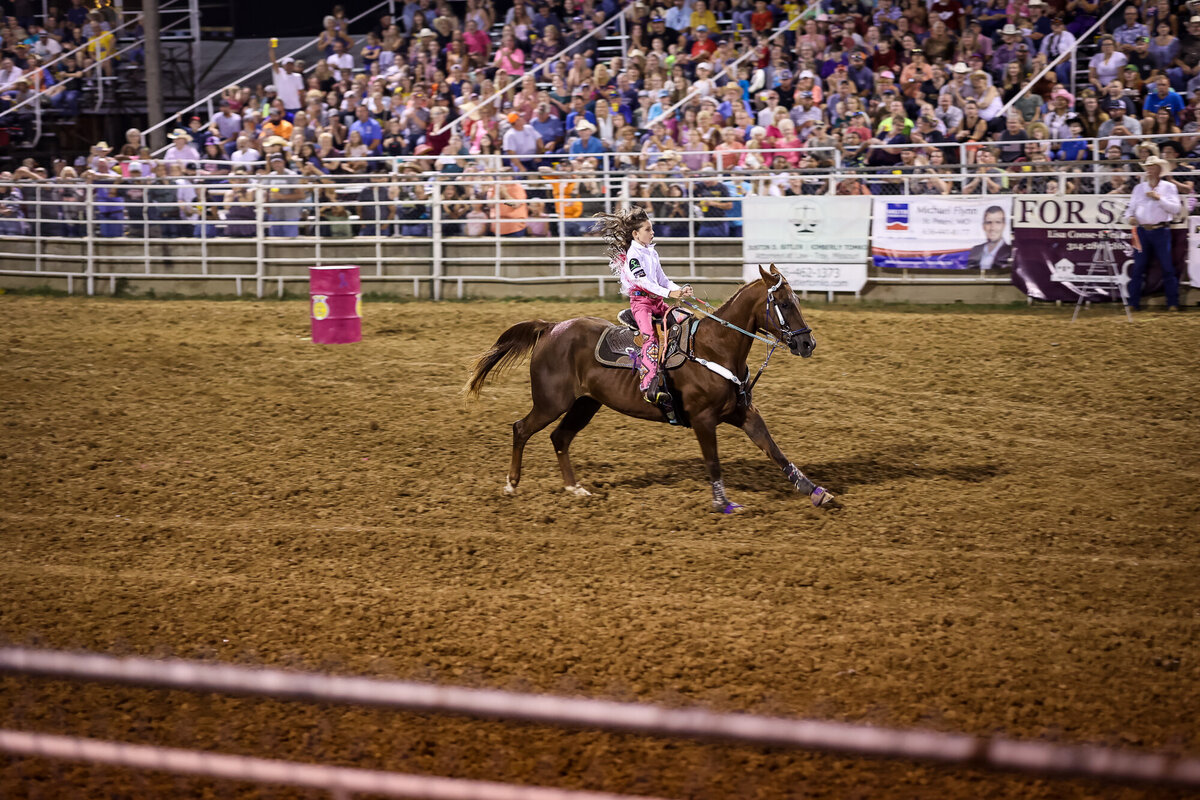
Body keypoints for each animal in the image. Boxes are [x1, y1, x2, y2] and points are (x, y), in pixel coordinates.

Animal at [460, 263, 835, 513]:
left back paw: (575, 488)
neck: (715, 346)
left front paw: (816, 492)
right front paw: (723, 504)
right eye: (784, 303)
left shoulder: (743, 412)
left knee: (560, 438)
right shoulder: (703, 420)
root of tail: (551, 327)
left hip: (585, 403)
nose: (808, 344)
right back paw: (511, 485)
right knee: (521, 428)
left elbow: (774, 450)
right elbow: (713, 461)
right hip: (551, 402)